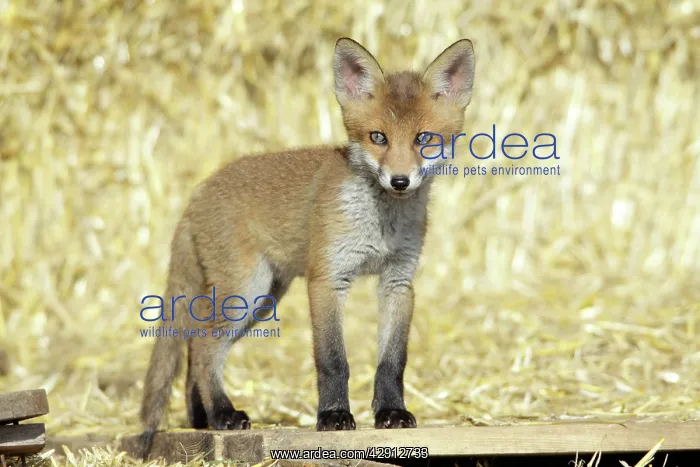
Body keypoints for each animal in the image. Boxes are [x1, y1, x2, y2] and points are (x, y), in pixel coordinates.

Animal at [139, 37, 475, 456]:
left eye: (423, 139)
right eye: (378, 137)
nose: (400, 181)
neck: (380, 225)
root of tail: (197, 193)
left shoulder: (398, 282)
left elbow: (392, 361)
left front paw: (391, 413)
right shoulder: (327, 279)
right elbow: (332, 361)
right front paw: (333, 417)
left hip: (262, 301)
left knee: (194, 347)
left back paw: (203, 418)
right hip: (245, 294)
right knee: (202, 348)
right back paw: (223, 414)